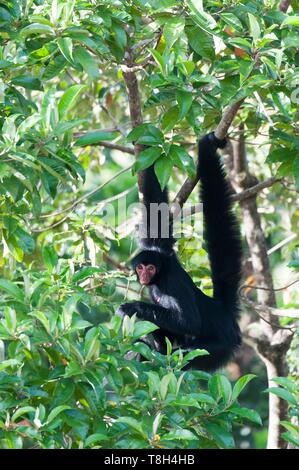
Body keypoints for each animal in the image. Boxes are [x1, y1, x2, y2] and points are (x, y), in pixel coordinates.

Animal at [116, 132, 241, 370]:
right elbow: (155, 212)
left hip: (220, 345)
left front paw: (131, 308)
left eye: (151, 268)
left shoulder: (172, 283)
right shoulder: (157, 247)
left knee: (186, 355)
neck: (161, 274)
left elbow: (189, 321)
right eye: (141, 267)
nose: (144, 275)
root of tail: (221, 312)